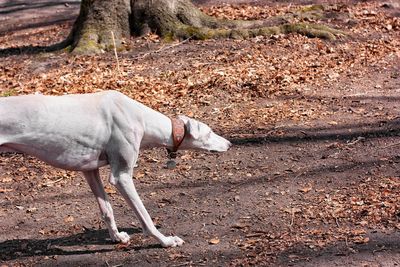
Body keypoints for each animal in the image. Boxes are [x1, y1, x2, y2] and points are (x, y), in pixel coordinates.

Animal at [0, 91, 231, 248]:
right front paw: (165, 240)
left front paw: (117, 237)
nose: (229, 144)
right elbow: (145, 216)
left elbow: (107, 210)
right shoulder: (121, 177)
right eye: (210, 132)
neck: (139, 115)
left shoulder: (90, 170)